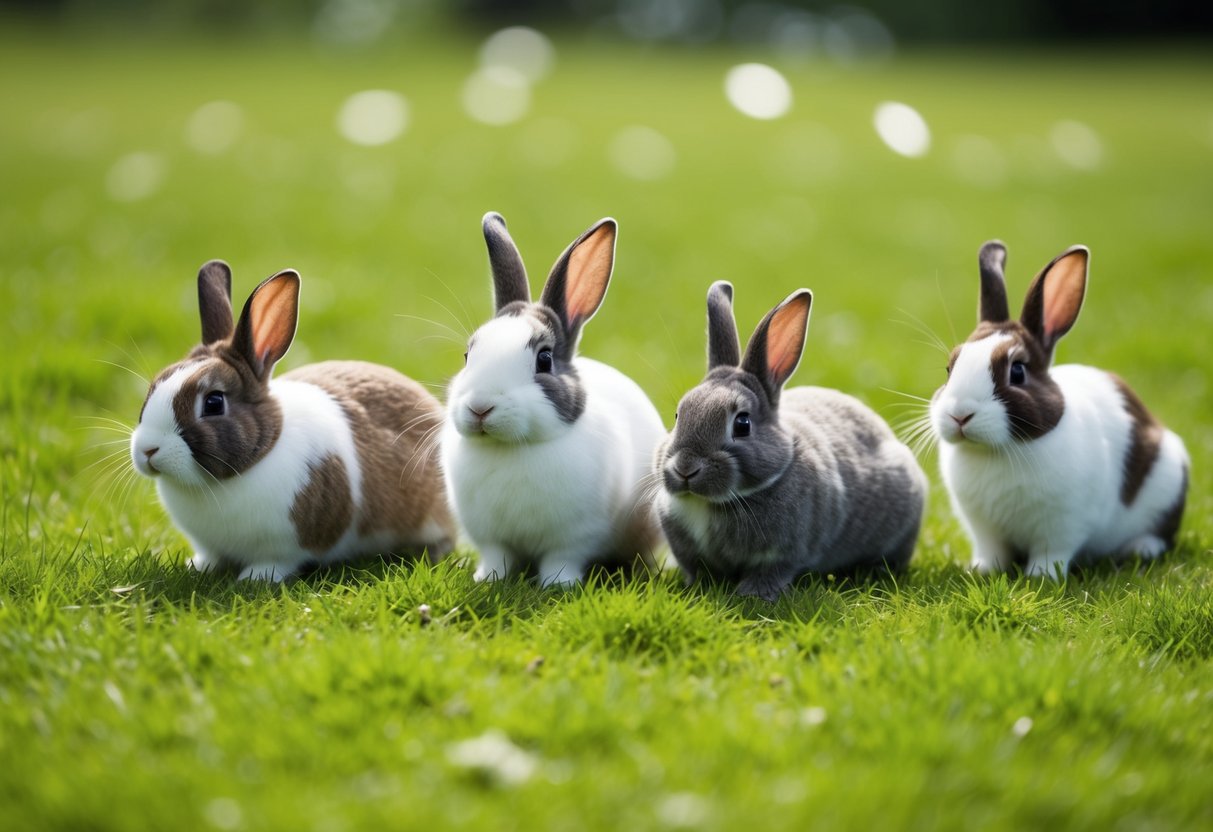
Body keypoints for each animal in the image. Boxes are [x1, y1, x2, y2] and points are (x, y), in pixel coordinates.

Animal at [130, 260, 456, 581]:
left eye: (213, 403)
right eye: (154, 387)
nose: (148, 450)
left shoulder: (285, 546)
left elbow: (276, 562)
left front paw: (254, 578)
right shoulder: (209, 545)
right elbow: (211, 557)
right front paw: (197, 567)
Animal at [440, 212, 666, 587]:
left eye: (544, 360)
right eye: (467, 355)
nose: (480, 407)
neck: (512, 449)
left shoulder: (574, 538)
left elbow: (561, 560)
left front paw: (558, 585)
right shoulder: (491, 539)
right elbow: (498, 558)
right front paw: (488, 579)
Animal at [655, 281, 928, 601]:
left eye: (742, 424)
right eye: (678, 415)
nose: (686, 468)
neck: (712, 503)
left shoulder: (784, 554)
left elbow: (773, 571)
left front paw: (754, 594)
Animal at [930, 241, 1189, 579]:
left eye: (1017, 372)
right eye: (949, 369)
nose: (960, 414)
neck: (995, 452)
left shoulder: (1063, 524)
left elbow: (1051, 552)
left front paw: (1041, 576)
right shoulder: (984, 529)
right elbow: (992, 552)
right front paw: (982, 571)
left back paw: (1140, 549)